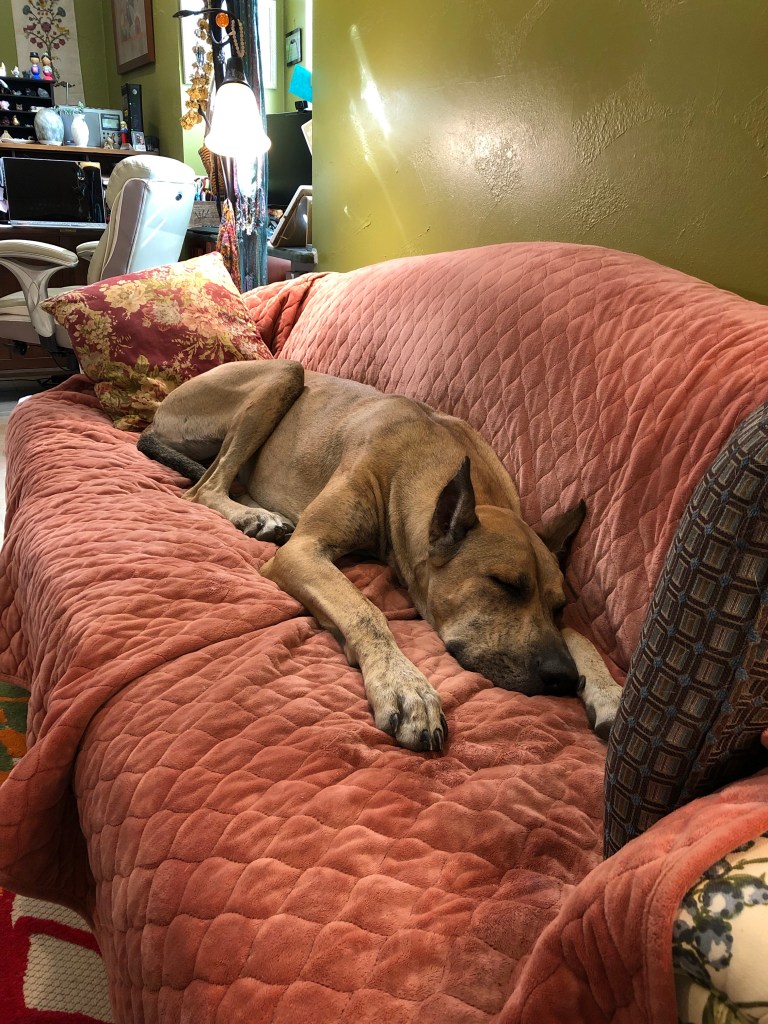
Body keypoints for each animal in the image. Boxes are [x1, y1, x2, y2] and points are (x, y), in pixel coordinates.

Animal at [138, 359, 622, 751]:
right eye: (503, 585)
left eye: (559, 605)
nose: (563, 677)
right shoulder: (304, 551)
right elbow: (365, 609)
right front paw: (406, 687)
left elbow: (578, 636)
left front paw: (610, 691)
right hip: (285, 374)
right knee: (204, 489)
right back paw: (255, 515)